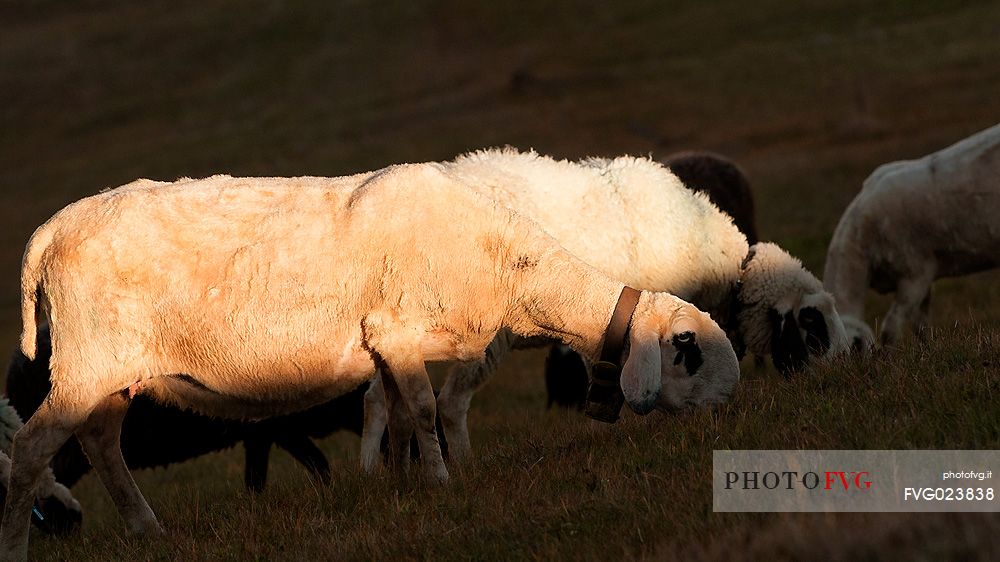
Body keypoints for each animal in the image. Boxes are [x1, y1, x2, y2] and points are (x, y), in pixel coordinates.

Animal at [820, 122, 1000, 348]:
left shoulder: (915, 274)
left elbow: (891, 328)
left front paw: (889, 355)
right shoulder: (925, 277)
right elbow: (920, 325)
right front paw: (928, 349)